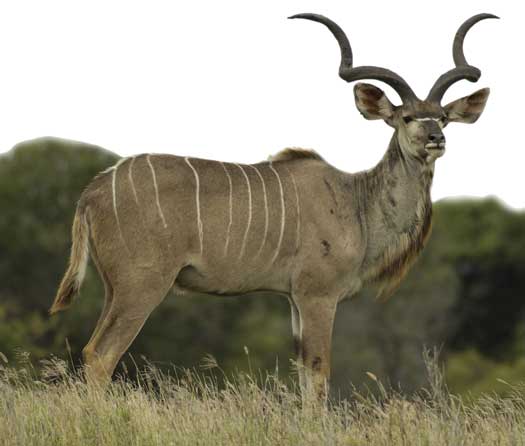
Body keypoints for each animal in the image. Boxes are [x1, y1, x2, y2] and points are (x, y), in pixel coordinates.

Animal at [50, 13, 496, 400]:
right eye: (406, 117)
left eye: (442, 117)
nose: (436, 138)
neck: (357, 203)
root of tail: (92, 191)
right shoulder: (318, 295)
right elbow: (318, 373)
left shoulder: (294, 298)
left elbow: (303, 374)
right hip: (143, 285)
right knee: (100, 355)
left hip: (115, 287)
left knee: (91, 352)